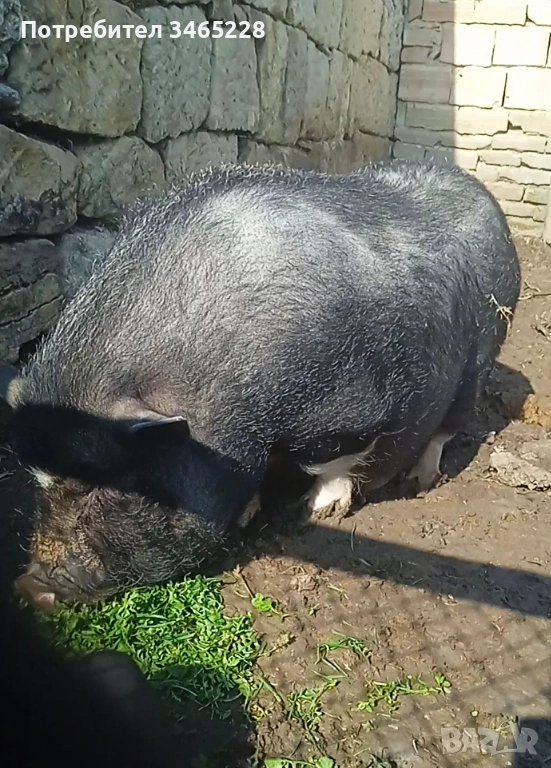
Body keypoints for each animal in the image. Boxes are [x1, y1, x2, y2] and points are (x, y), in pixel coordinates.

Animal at [0, 161, 521, 607]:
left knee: (448, 427)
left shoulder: (348, 411)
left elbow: (329, 461)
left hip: (484, 353)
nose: (29, 587)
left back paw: (420, 480)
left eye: (103, 487)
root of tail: (479, 191)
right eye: (39, 482)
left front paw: (315, 512)